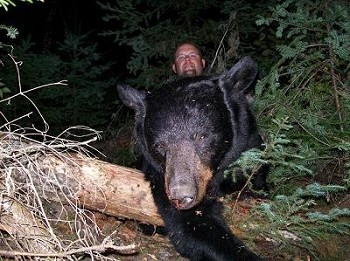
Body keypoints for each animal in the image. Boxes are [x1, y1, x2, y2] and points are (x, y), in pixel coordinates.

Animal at [117, 55, 266, 258]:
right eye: (159, 145)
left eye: (202, 136)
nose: (181, 196)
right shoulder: (160, 176)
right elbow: (191, 228)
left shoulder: (248, 146)